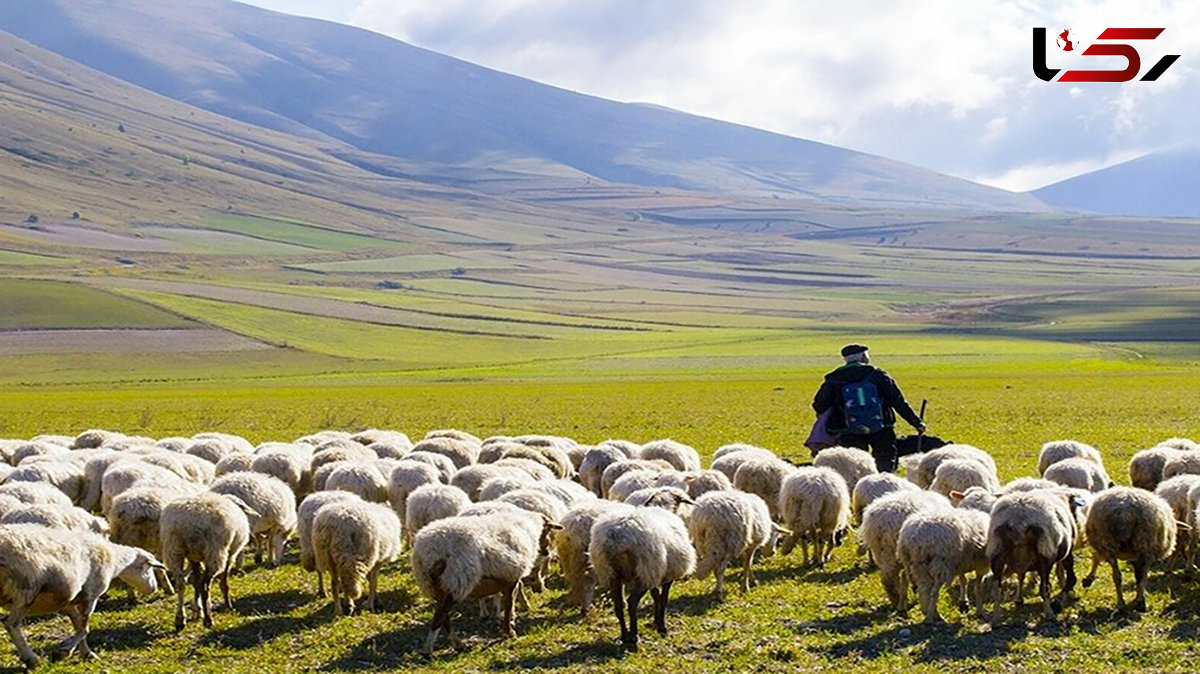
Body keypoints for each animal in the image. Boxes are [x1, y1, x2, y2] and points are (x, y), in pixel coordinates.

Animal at [0, 522, 163, 662]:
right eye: (149, 568)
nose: (154, 588)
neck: (115, 561)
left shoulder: (70, 601)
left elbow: (78, 625)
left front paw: (86, 653)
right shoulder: (91, 595)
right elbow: (85, 629)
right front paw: (65, 651)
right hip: (26, 590)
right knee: (11, 624)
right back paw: (31, 659)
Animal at [588, 501, 696, 647]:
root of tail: (617, 538)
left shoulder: (655, 575)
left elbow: (656, 596)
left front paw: (657, 621)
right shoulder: (666, 576)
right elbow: (664, 599)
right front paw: (662, 627)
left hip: (612, 573)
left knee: (619, 605)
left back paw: (624, 636)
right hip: (644, 571)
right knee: (632, 602)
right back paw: (634, 635)